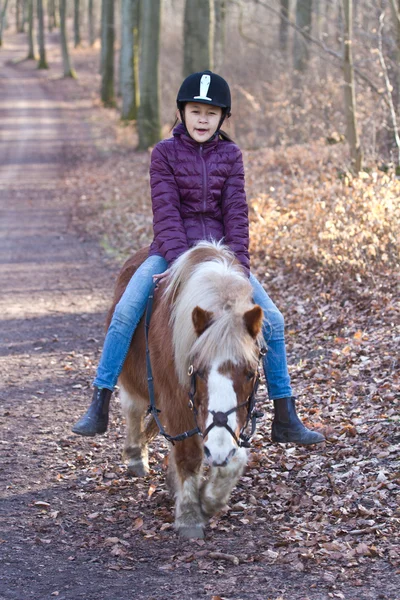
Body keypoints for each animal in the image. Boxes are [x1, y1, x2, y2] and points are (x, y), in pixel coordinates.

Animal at [108, 241, 266, 540]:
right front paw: (191, 515)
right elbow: (189, 455)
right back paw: (136, 457)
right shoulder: (177, 401)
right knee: (133, 410)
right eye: (199, 371)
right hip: (133, 380)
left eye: (250, 373)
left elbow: (235, 455)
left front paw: (209, 499)